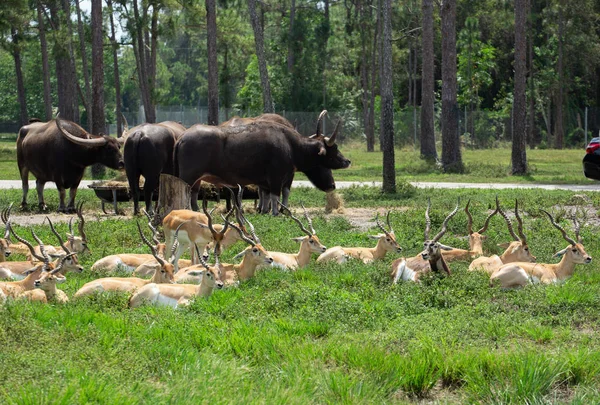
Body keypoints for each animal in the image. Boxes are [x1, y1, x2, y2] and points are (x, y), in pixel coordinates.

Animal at [173, 112, 350, 215]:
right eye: (334, 148)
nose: (347, 161)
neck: (290, 145)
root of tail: (182, 137)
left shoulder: (265, 181)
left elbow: (265, 195)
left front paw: (265, 211)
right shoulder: (277, 177)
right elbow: (276, 195)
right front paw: (277, 212)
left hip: (195, 178)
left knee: (193, 194)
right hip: (188, 177)